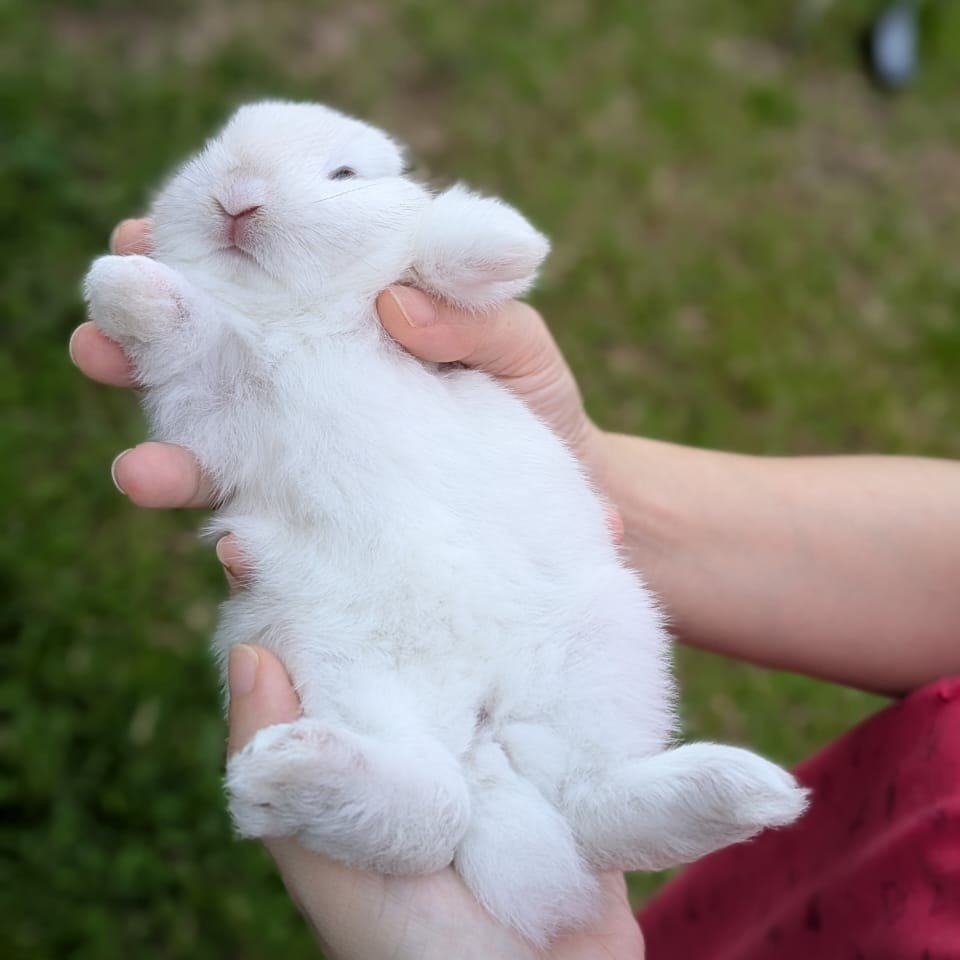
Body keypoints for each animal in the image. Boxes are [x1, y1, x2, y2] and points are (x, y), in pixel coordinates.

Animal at [83, 100, 807, 946]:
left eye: (344, 174)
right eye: (211, 152)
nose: (237, 199)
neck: (298, 317)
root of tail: (484, 735)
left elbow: (432, 256)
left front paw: (503, 237)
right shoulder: (216, 393)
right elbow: (185, 330)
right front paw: (118, 284)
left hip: (608, 639)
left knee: (590, 804)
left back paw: (750, 792)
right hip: (334, 659)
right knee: (439, 812)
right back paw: (289, 771)